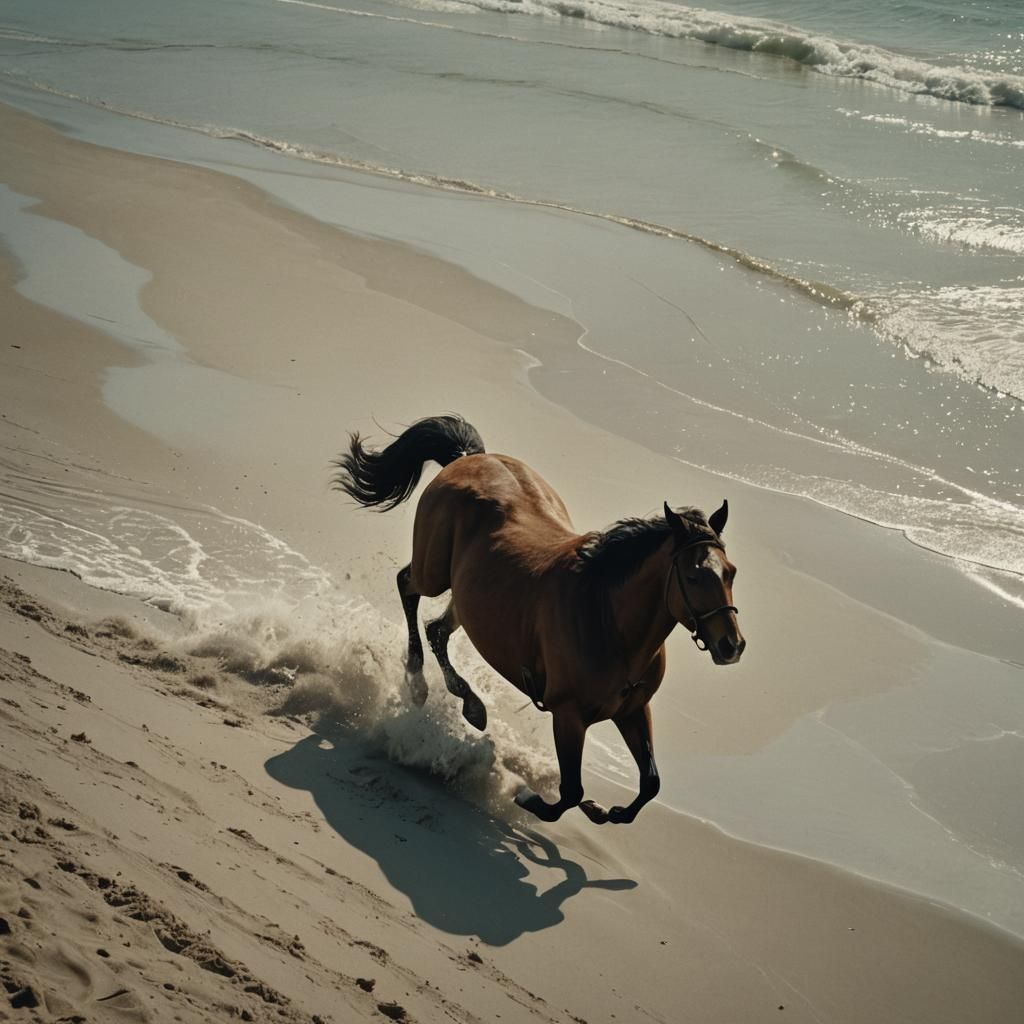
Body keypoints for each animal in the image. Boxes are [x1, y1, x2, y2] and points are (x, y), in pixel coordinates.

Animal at [332, 414, 745, 825]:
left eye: (731, 572)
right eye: (694, 576)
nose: (732, 646)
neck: (607, 622)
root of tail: (467, 457)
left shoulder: (633, 713)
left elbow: (649, 785)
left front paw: (603, 811)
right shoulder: (568, 716)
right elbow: (570, 791)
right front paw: (530, 797)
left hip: (466, 599)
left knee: (437, 630)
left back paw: (471, 705)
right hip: (433, 573)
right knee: (407, 586)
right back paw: (418, 682)